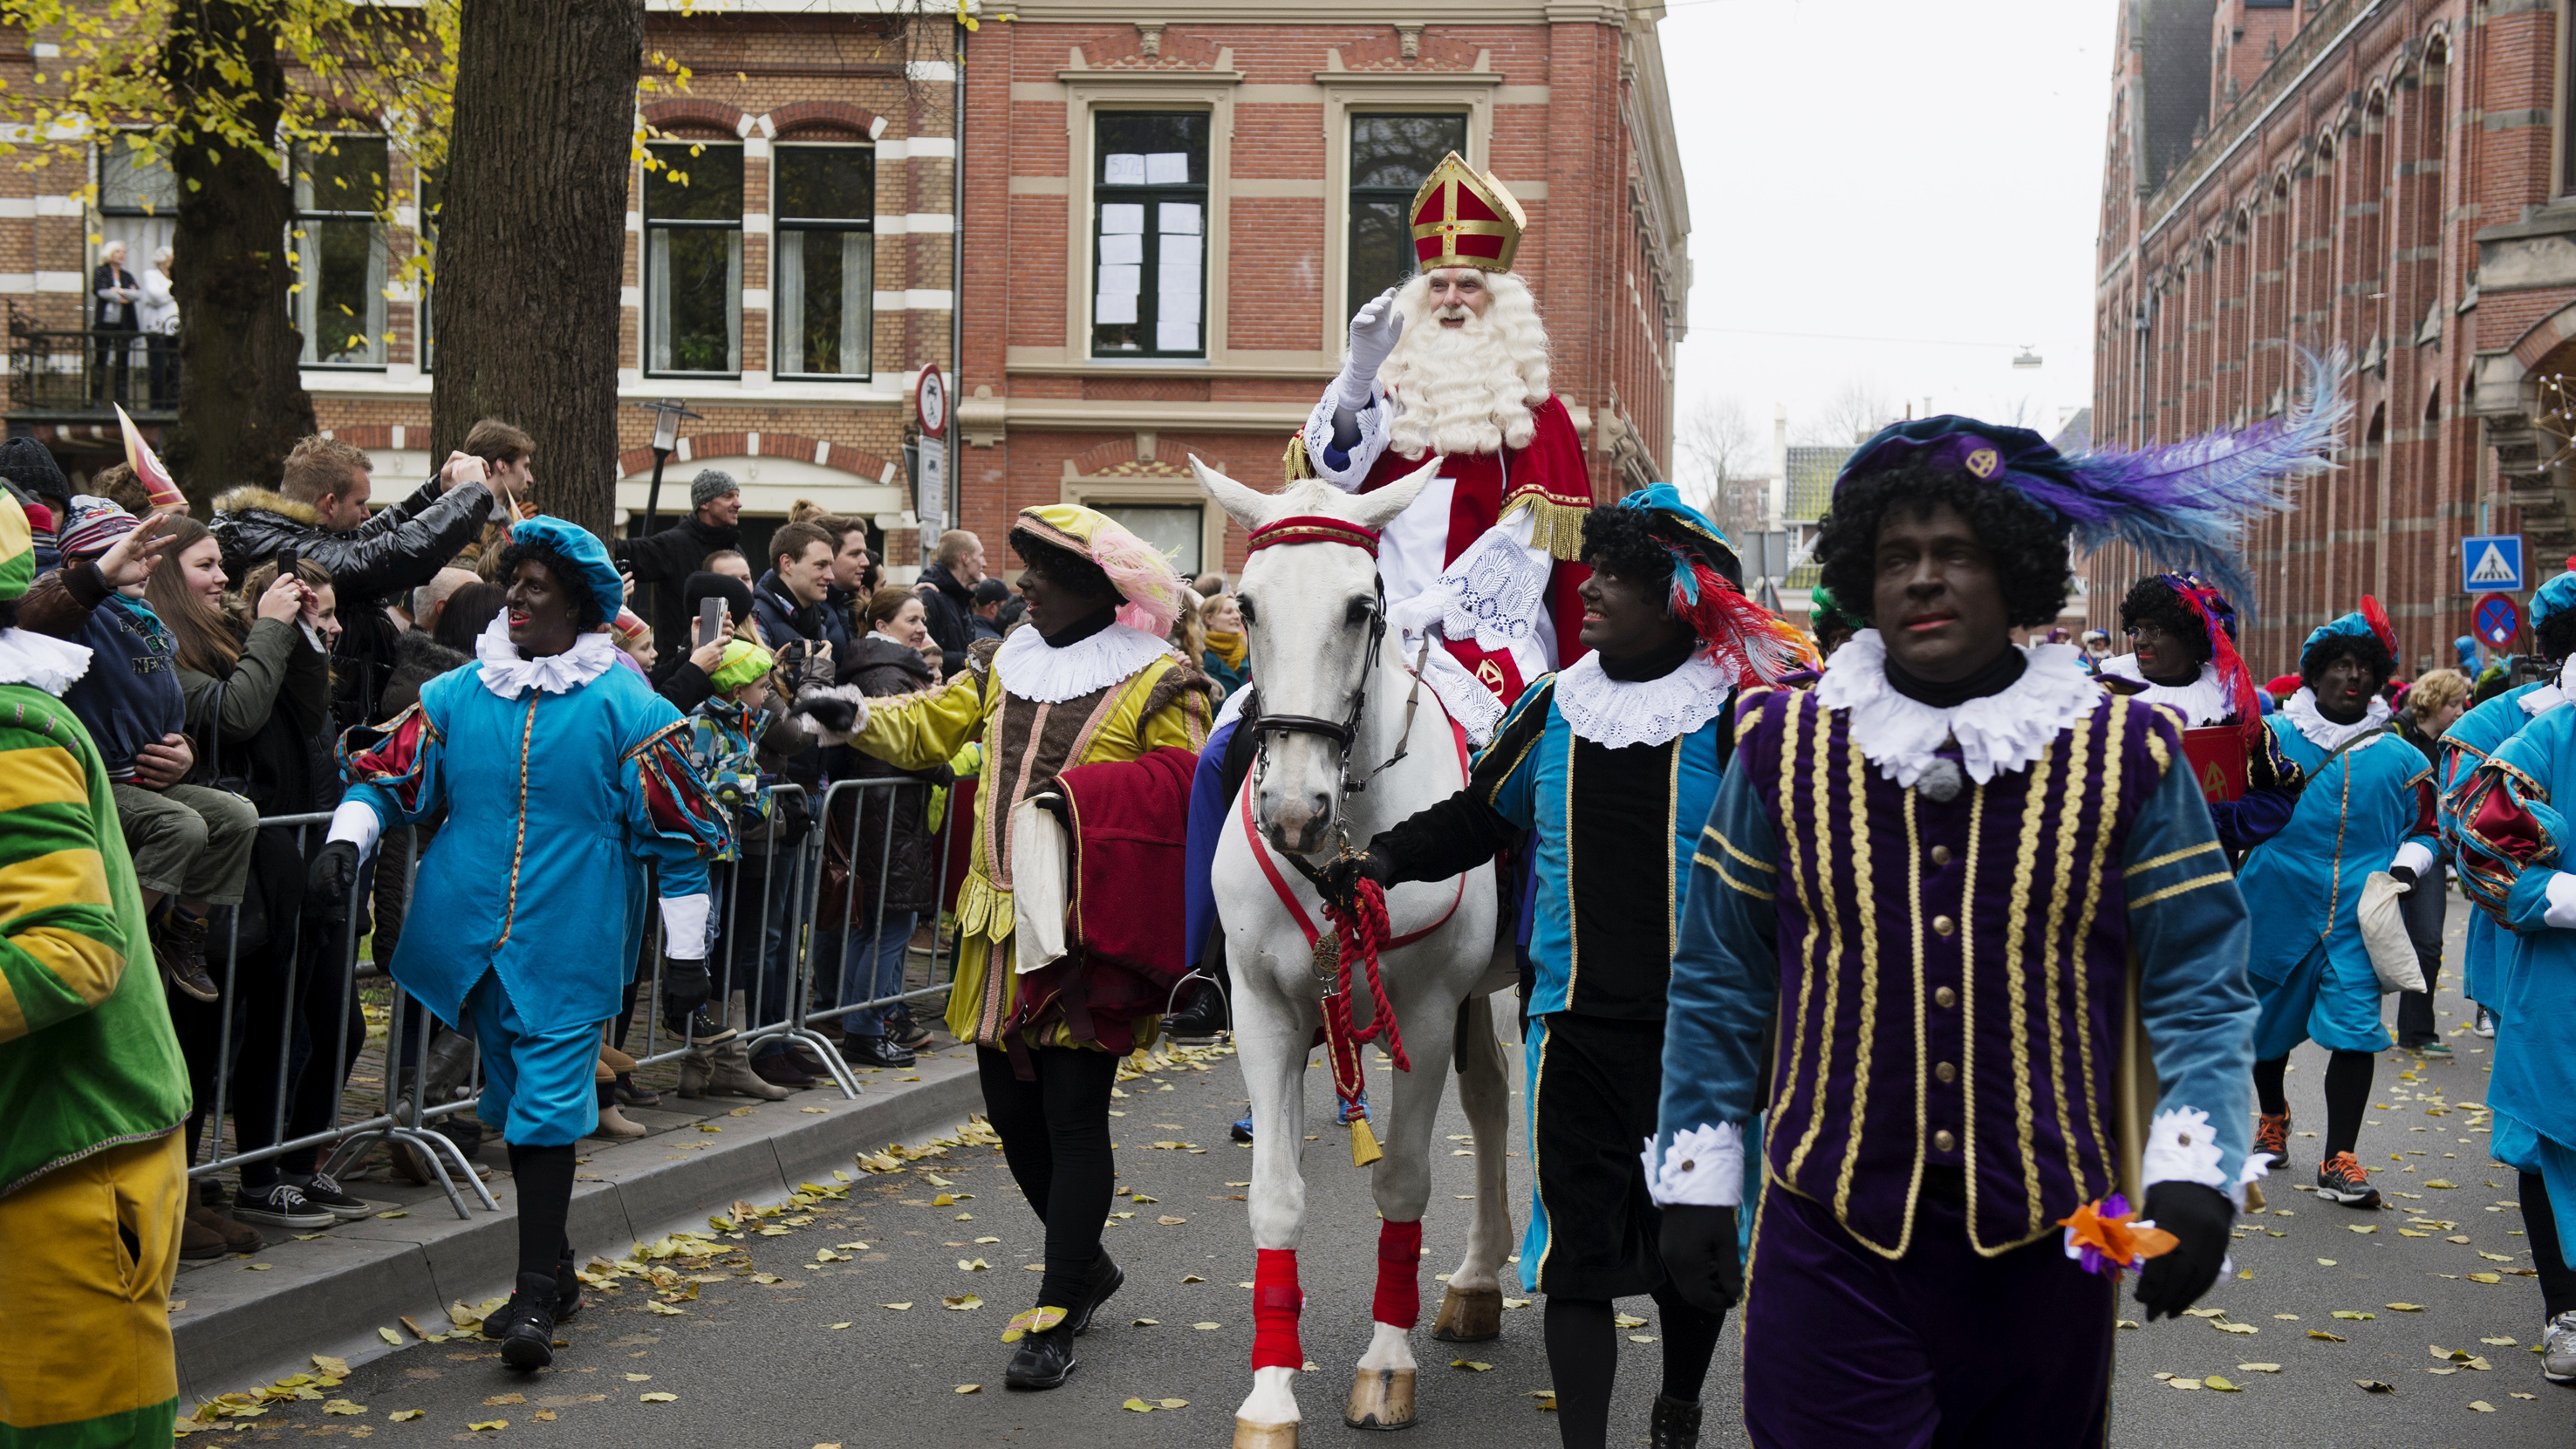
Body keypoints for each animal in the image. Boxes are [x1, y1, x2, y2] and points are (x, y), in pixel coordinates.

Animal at [1190, 454, 1514, 1444]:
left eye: (1359, 607)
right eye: (1247, 604)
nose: (1294, 811)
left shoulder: (1425, 1014)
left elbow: (1403, 1182)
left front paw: (1384, 1364)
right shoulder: (1264, 1012)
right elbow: (1276, 1197)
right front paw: (1269, 1396)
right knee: (1492, 1100)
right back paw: (1476, 1281)